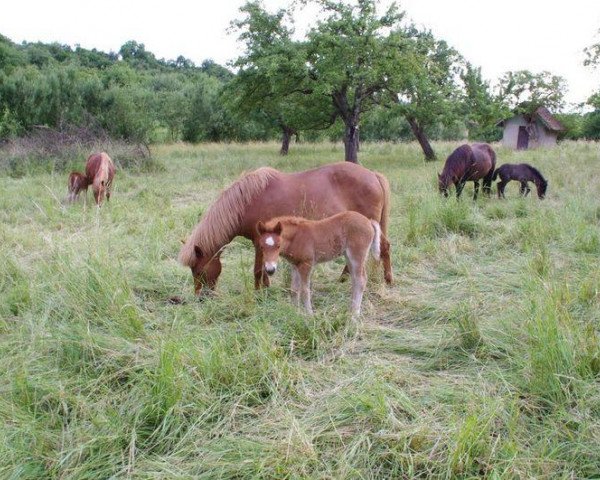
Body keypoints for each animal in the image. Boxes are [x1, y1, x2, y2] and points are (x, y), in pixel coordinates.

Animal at [178, 162, 394, 296]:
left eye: (198, 271)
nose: (200, 297)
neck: (246, 202)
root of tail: (373, 175)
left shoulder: (258, 241)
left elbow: (257, 270)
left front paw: (258, 293)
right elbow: (264, 269)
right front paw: (265, 289)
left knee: (384, 247)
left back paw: (388, 280)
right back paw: (344, 278)